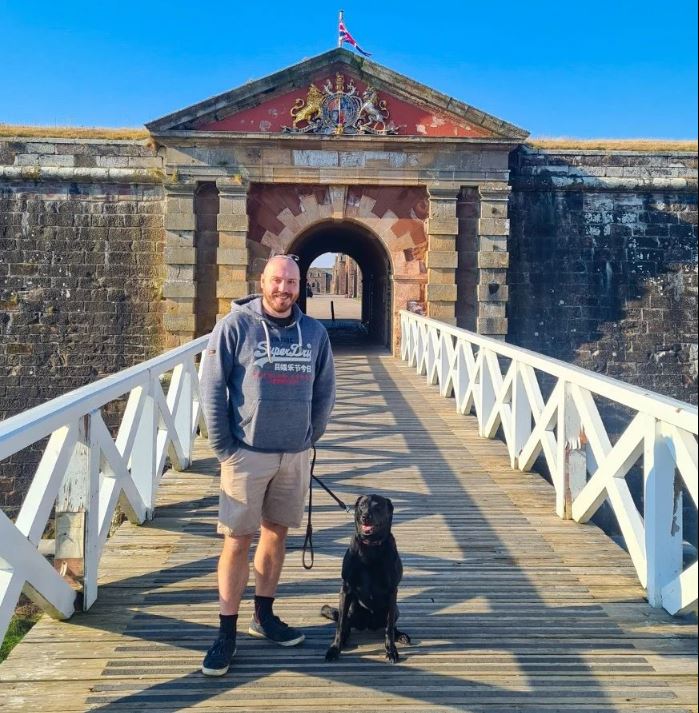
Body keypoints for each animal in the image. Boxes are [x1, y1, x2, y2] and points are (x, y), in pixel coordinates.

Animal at [322, 490, 410, 660]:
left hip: (395, 608)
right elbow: (340, 624)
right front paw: (335, 648)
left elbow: (389, 627)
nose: (365, 516)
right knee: (345, 624)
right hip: (351, 609)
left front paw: (391, 649)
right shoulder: (346, 589)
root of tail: (370, 625)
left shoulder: (392, 591)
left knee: (390, 625)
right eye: (362, 505)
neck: (371, 547)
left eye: (378, 506)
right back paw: (344, 639)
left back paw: (400, 635)